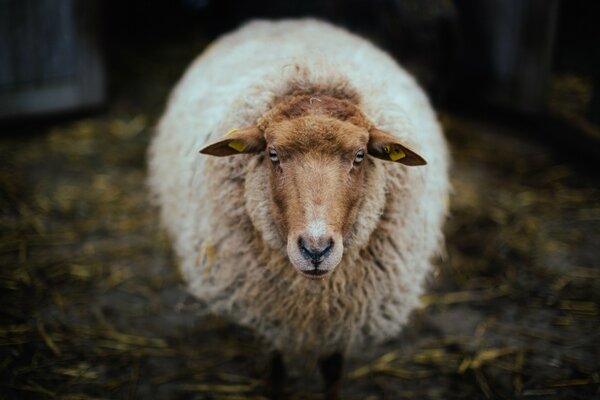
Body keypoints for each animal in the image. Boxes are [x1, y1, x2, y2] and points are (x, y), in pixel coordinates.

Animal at [149, 19, 448, 400]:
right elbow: (276, 369)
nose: (315, 249)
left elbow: (332, 370)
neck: (312, 300)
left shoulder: (342, 320)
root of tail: (283, 22)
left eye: (360, 155)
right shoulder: (271, 316)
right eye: (273, 153)